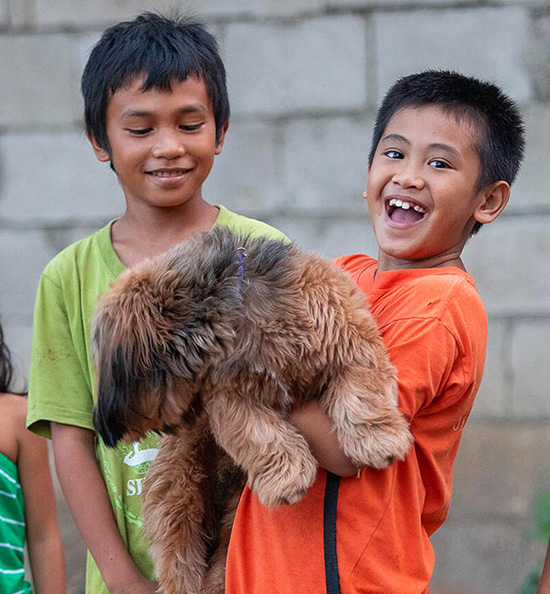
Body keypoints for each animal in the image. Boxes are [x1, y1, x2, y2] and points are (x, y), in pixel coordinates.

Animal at [91, 227, 413, 594]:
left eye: (114, 371)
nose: (103, 427)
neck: (235, 305)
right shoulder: (233, 398)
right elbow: (261, 434)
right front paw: (288, 479)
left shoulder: (348, 338)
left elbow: (362, 391)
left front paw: (378, 439)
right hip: (179, 489)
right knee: (181, 558)